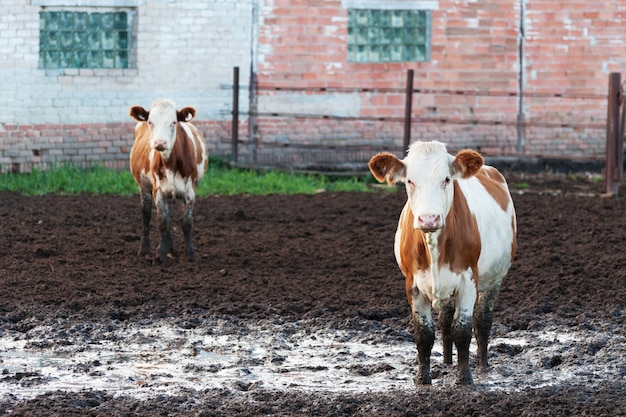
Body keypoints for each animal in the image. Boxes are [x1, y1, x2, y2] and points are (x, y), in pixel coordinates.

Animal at [129, 98, 207, 262]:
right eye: (150, 122)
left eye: (174, 122)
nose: (160, 143)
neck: (171, 163)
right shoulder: (158, 190)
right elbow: (162, 221)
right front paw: (160, 253)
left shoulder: (190, 191)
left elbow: (186, 222)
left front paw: (191, 253)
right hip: (143, 186)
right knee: (146, 214)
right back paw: (145, 249)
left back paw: (171, 250)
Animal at [368, 141, 516, 386]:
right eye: (410, 181)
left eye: (447, 179)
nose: (429, 219)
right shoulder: (413, 284)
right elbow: (424, 333)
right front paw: (422, 378)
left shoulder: (468, 281)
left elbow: (462, 330)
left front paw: (464, 377)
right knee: (445, 321)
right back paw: (447, 362)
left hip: (495, 278)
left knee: (482, 320)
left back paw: (483, 365)